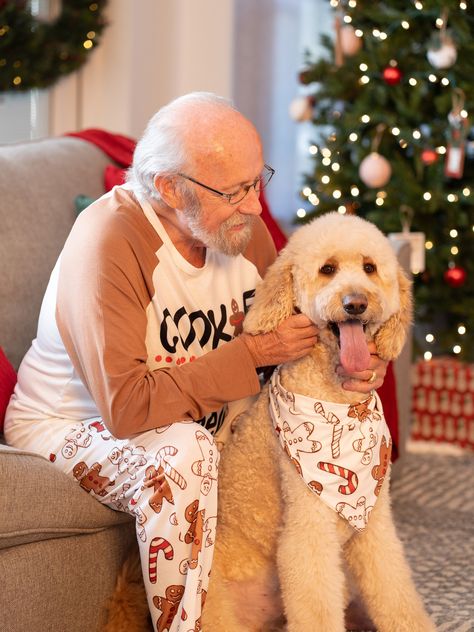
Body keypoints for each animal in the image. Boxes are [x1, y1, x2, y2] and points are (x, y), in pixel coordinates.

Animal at [202, 212, 436, 632]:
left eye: (370, 268)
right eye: (327, 269)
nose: (355, 303)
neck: (337, 401)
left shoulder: (375, 522)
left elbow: (394, 589)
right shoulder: (307, 525)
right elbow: (315, 600)